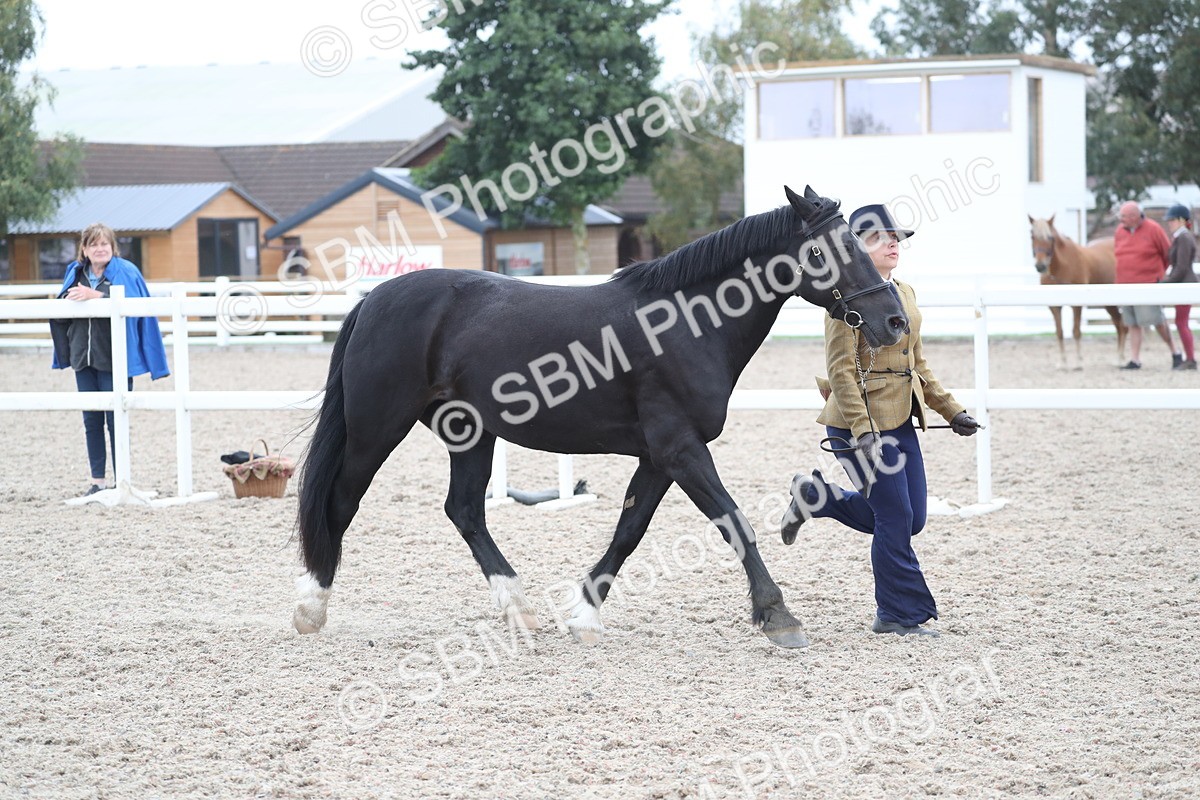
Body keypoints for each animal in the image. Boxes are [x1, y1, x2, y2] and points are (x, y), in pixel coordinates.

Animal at [293, 185, 908, 649]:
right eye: (828, 250)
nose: (894, 321)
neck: (687, 325)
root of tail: (373, 300)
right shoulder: (680, 449)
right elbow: (733, 522)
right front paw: (778, 616)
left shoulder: (658, 458)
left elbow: (628, 531)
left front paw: (585, 614)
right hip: (377, 428)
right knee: (342, 503)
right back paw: (310, 607)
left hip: (470, 434)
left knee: (464, 510)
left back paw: (519, 608)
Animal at [1028, 215, 1126, 369]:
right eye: (1032, 236)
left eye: (1050, 237)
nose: (1040, 266)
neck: (1060, 267)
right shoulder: (1054, 307)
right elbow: (1059, 332)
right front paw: (1063, 363)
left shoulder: (1076, 305)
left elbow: (1076, 331)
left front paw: (1078, 362)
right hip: (1108, 304)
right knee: (1119, 325)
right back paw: (1119, 358)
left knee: (1123, 326)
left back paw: (1120, 358)